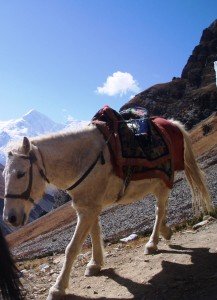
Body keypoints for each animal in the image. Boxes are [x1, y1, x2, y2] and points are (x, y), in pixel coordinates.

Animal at [2, 118, 213, 298]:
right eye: (4, 175)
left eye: (21, 174)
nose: (10, 218)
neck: (82, 159)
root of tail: (171, 123)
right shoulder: (89, 207)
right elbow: (95, 234)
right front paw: (95, 264)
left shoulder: (88, 210)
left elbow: (72, 248)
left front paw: (58, 287)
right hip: (156, 185)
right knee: (161, 209)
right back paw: (166, 231)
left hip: (163, 182)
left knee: (159, 210)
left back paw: (152, 243)